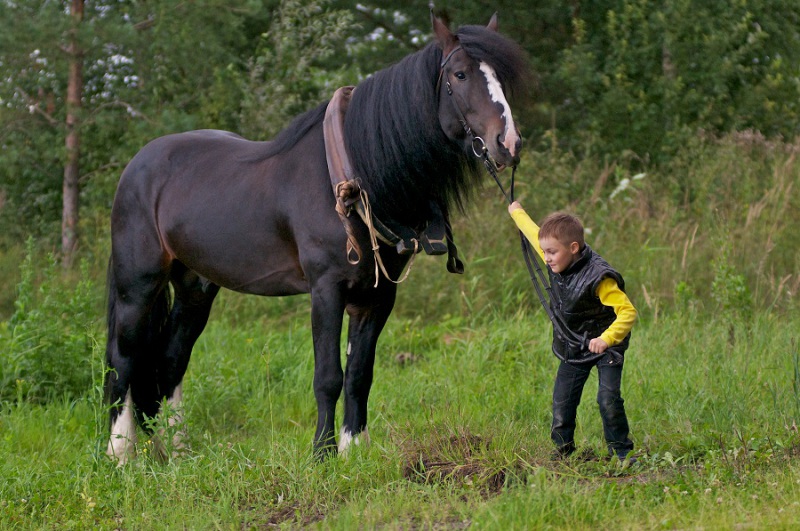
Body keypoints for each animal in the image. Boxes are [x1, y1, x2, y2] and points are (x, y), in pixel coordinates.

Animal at [106, 11, 532, 462]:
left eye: (501, 77)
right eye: (460, 74)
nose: (508, 143)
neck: (354, 173)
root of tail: (137, 166)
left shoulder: (377, 295)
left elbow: (360, 374)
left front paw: (353, 449)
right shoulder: (326, 289)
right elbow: (329, 375)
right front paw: (322, 454)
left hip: (194, 288)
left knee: (171, 358)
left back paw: (179, 449)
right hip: (138, 285)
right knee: (123, 359)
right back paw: (120, 453)